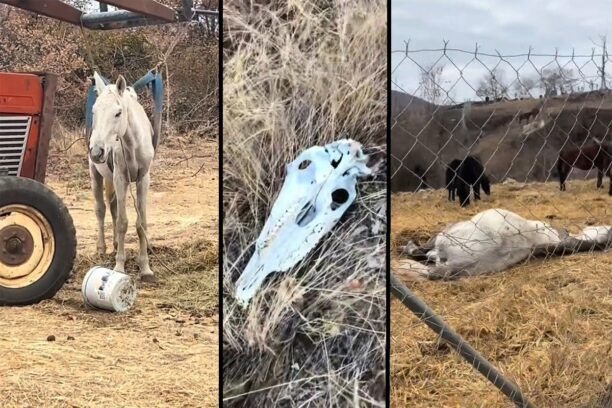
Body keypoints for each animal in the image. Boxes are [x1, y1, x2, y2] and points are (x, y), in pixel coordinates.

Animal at [90, 71, 159, 280]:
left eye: (118, 113)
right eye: (94, 111)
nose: (97, 152)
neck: (132, 145)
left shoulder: (143, 179)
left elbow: (141, 223)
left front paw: (145, 268)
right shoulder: (120, 178)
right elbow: (122, 223)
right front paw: (119, 266)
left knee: (113, 207)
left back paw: (114, 245)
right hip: (96, 175)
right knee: (101, 209)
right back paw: (102, 247)